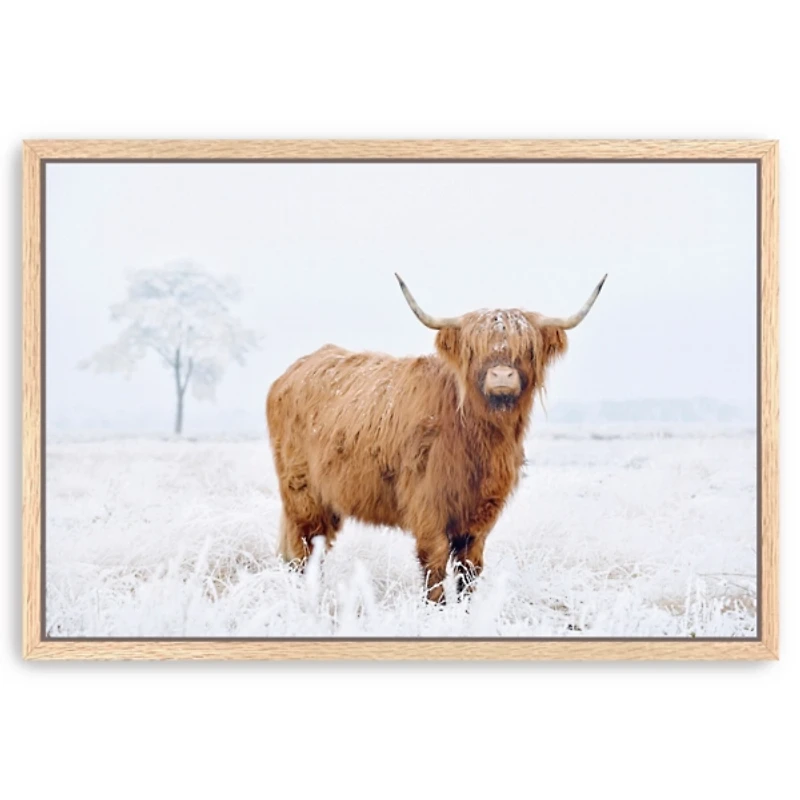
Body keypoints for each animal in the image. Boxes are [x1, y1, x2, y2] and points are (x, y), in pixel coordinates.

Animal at [266, 273, 606, 603]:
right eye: (473, 349)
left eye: (527, 349)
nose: (501, 376)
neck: (478, 438)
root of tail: (293, 371)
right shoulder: (428, 505)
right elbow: (435, 566)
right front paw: (436, 610)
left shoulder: (480, 515)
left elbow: (470, 569)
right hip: (302, 494)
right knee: (305, 549)